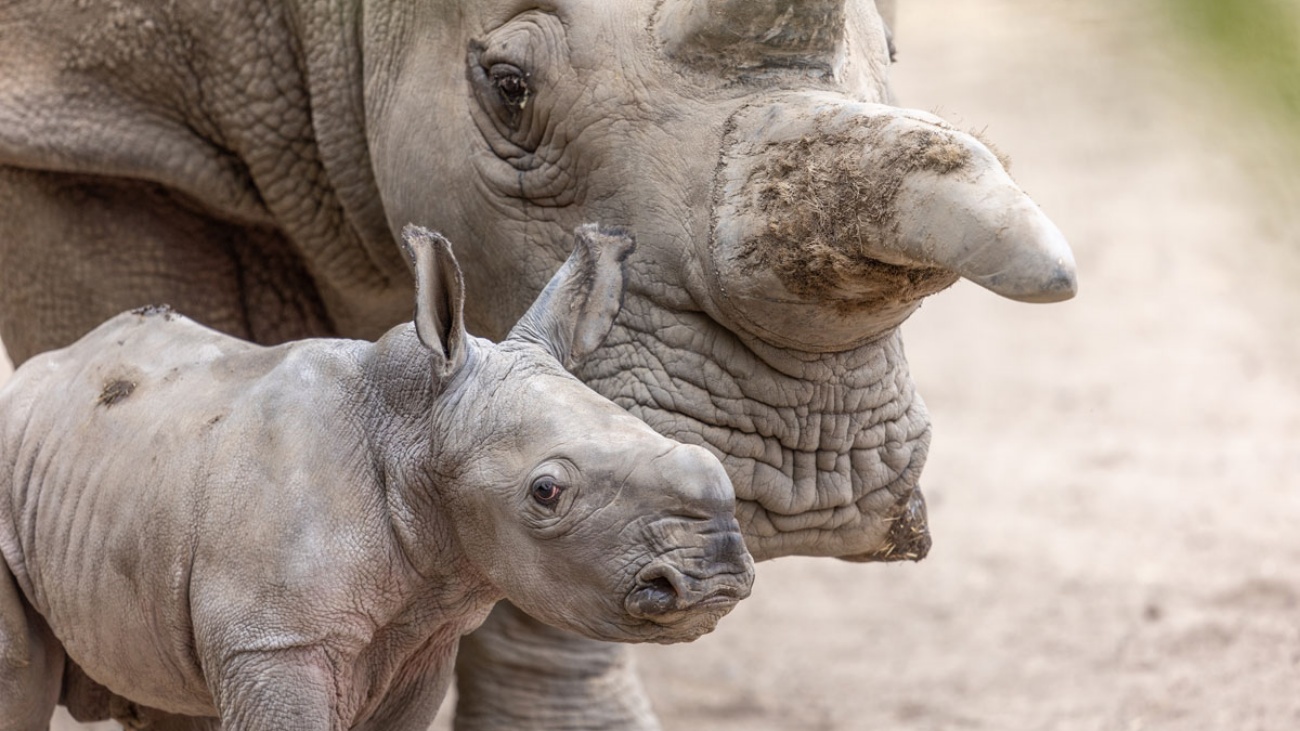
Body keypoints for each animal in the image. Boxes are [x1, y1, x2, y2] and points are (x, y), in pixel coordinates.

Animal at [0, 225, 754, 730]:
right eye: (547, 492)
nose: (715, 572)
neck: (414, 426)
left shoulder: (421, 638)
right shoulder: (274, 640)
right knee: (21, 680)